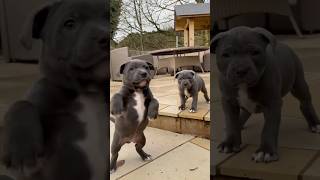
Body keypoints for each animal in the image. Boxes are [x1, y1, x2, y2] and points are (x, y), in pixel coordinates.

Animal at [211, 26, 318, 163]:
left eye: (255, 52)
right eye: (226, 55)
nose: (241, 70)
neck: (244, 86)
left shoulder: (272, 103)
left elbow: (269, 127)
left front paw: (265, 151)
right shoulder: (228, 101)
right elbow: (231, 122)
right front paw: (230, 142)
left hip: (298, 84)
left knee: (305, 102)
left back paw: (314, 123)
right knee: (245, 111)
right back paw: (240, 124)